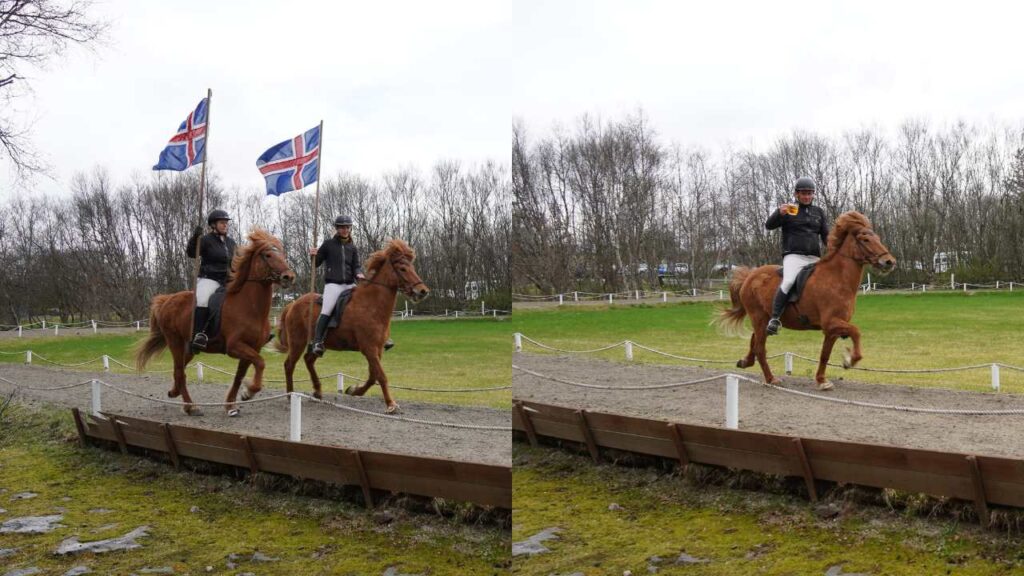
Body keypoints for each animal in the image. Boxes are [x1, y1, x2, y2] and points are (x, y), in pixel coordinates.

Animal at [134, 227, 294, 412]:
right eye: (268, 255)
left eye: (282, 254)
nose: (289, 277)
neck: (250, 307)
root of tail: (167, 299)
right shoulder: (235, 346)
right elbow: (260, 363)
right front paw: (249, 392)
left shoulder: (253, 348)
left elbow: (240, 375)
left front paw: (231, 405)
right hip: (174, 341)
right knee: (180, 371)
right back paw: (190, 406)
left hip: (188, 347)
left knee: (179, 370)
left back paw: (175, 392)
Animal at [272, 237, 428, 412]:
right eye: (402, 269)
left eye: (412, 267)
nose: (423, 291)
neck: (371, 305)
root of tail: (292, 304)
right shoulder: (369, 349)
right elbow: (381, 375)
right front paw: (391, 404)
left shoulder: (377, 349)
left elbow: (373, 376)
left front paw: (354, 390)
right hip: (297, 342)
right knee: (289, 365)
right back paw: (289, 395)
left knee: (308, 360)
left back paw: (318, 392)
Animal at [712, 211, 897, 389]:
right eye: (865, 239)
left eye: (877, 238)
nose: (889, 262)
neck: (837, 279)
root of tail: (750, 276)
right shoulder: (831, 323)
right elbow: (856, 331)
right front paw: (849, 360)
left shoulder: (832, 330)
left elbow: (825, 354)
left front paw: (822, 380)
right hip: (758, 317)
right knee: (760, 348)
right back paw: (771, 379)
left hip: (763, 320)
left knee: (754, 340)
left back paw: (745, 362)